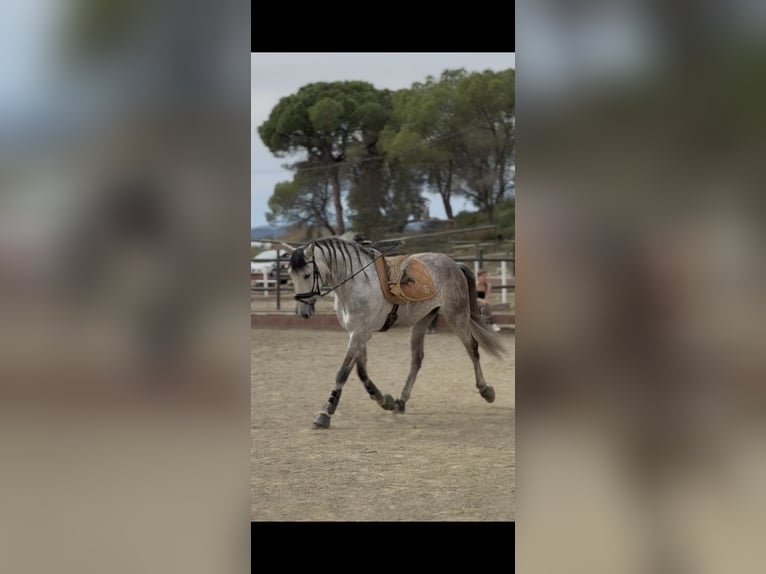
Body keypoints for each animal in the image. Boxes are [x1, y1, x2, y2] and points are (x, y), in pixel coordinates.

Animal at [288, 237, 506, 428]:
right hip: (421, 321)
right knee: (417, 359)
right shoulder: (357, 333)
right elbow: (361, 371)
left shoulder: (360, 333)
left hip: (457, 316)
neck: (356, 283)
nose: (302, 312)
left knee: (472, 348)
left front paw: (326, 412)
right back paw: (401, 401)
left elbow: (343, 373)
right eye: (291, 275)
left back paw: (486, 391)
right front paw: (385, 400)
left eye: (306, 275)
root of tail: (454, 264)